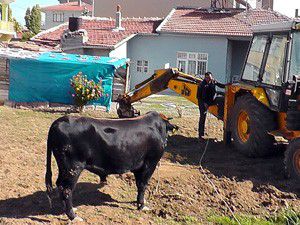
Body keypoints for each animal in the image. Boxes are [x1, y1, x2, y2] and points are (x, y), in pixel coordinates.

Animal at [44, 111, 176, 221]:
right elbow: (142, 185)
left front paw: (138, 203)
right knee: (66, 190)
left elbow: (139, 184)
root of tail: (59, 121)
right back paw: (73, 216)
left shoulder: (138, 167)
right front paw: (142, 206)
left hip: (64, 168)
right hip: (73, 168)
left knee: (59, 185)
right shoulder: (149, 164)